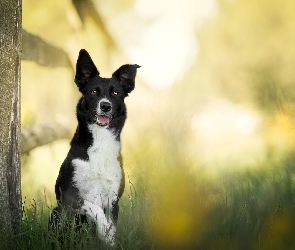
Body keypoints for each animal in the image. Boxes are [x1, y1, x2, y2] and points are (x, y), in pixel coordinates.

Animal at [49, 48, 140, 246]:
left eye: (115, 93)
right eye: (93, 91)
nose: (105, 106)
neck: (100, 141)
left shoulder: (113, 199)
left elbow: (111, 227)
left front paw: (108, 238)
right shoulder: (69, 196)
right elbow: (94, 209)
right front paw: (103, 230)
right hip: (56, 213)